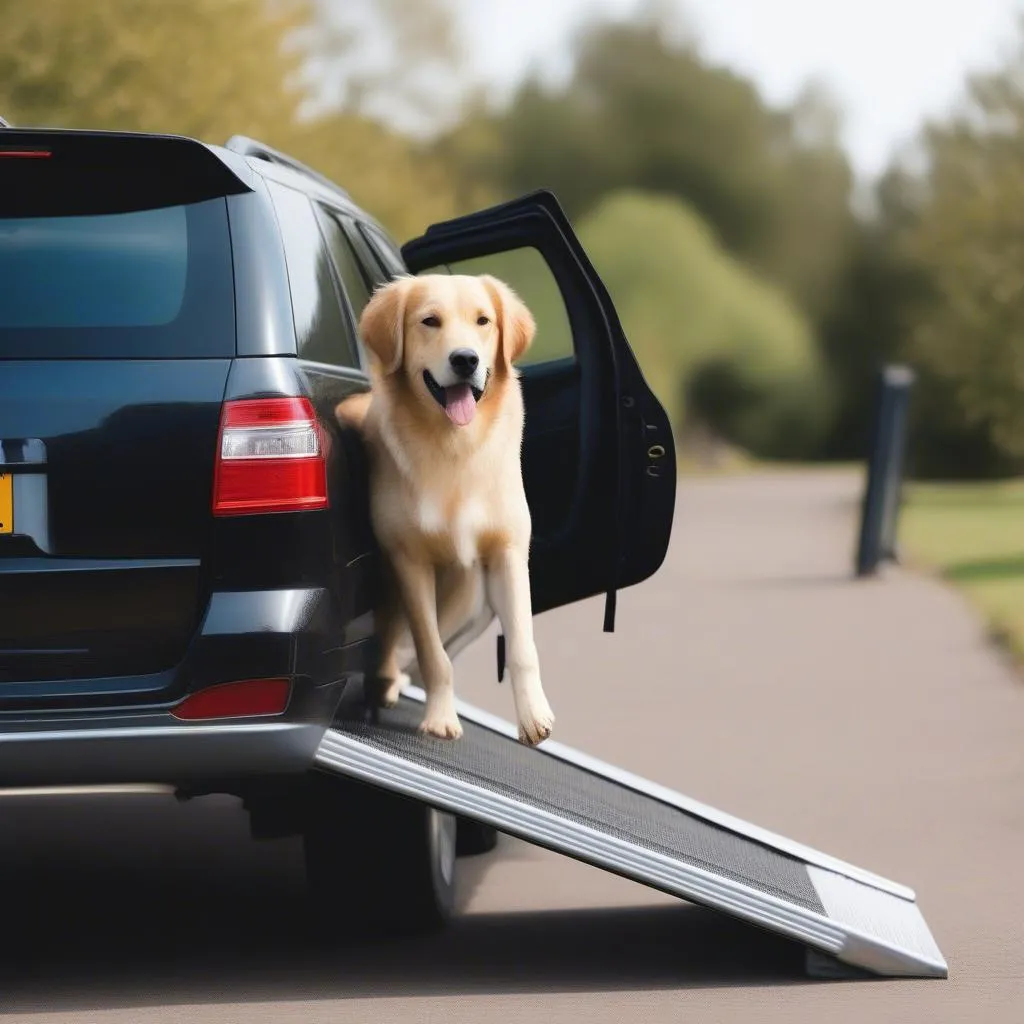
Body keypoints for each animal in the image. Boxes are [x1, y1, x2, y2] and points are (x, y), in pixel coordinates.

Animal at [337, 276, 557, 749]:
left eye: (483, 321)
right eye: (430, 321)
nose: (465, 359)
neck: (455, 447)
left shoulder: (507, 554)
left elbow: (522, 646)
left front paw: (534, 717)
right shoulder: (410, 563)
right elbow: (432, 653)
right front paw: (440, 717)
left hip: (466, 597)